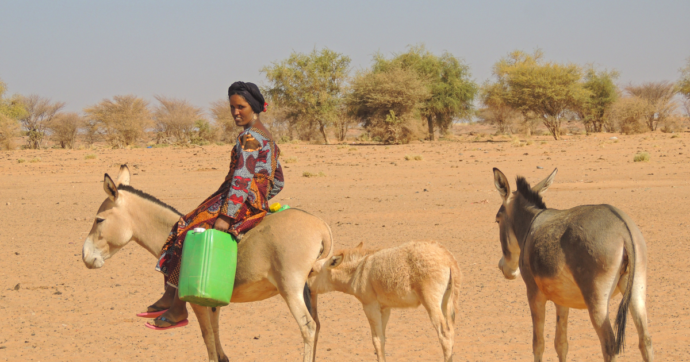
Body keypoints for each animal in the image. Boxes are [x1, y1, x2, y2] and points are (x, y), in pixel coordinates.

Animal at [310, 240, 460, 362]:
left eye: (311, 271)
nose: (307, 288)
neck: (359, 270)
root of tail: (447, 258)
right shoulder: (385, 308)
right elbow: (382, 338)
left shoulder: (370, 307)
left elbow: (376, 340)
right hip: (446, 303)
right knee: (451, 333)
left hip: (431, 303)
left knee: (444, 334)